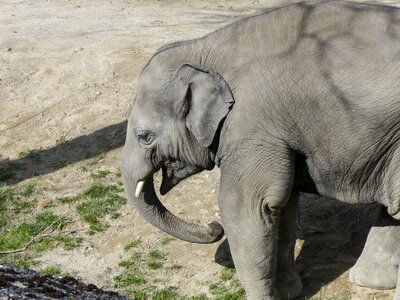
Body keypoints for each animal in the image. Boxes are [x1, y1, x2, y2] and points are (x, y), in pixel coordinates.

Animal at [121, 1, 400, 298]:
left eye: (144, 136)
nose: (212, 227)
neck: (202, 47)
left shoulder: (250, 126)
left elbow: (246, 207)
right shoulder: (276, 134)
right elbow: (282, 204)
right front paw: (290, 292)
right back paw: (370, 280)